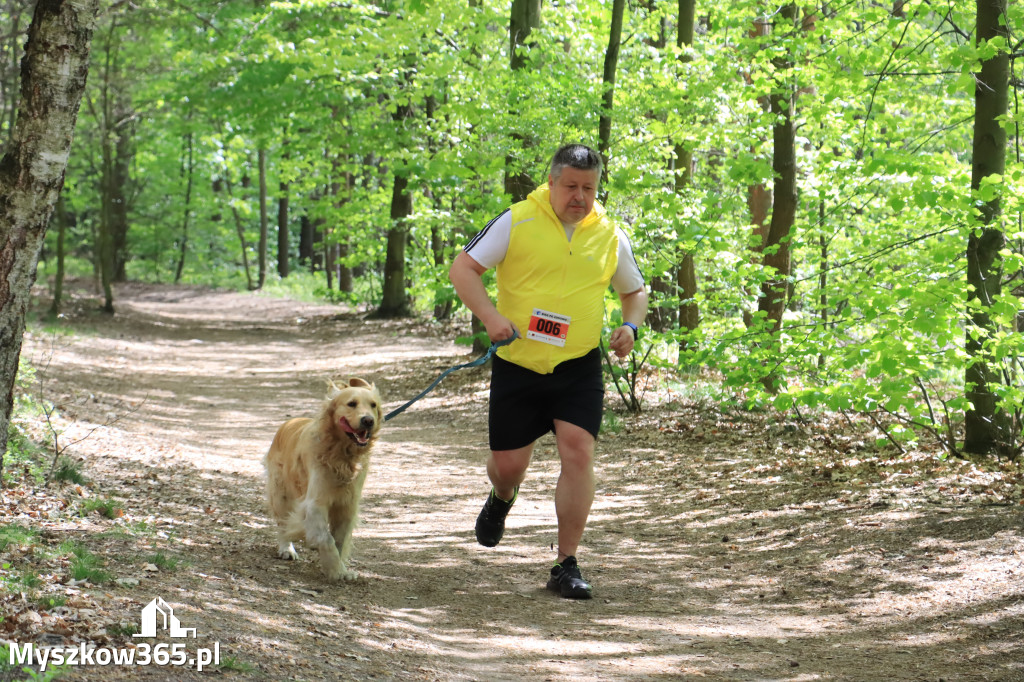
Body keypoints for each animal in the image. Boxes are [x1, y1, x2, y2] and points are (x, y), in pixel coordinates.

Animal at [264, 376, 385, 577]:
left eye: (373, 405)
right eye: (351, 404)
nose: (368, 420)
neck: (341, 453)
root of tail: (288, 423)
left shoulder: (347, 505)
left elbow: (339, 540)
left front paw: (339, 567)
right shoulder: (315, 503)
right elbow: (327, 539)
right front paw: (337, 570)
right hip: (281, 493)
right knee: (283, 524)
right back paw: (287, 549)